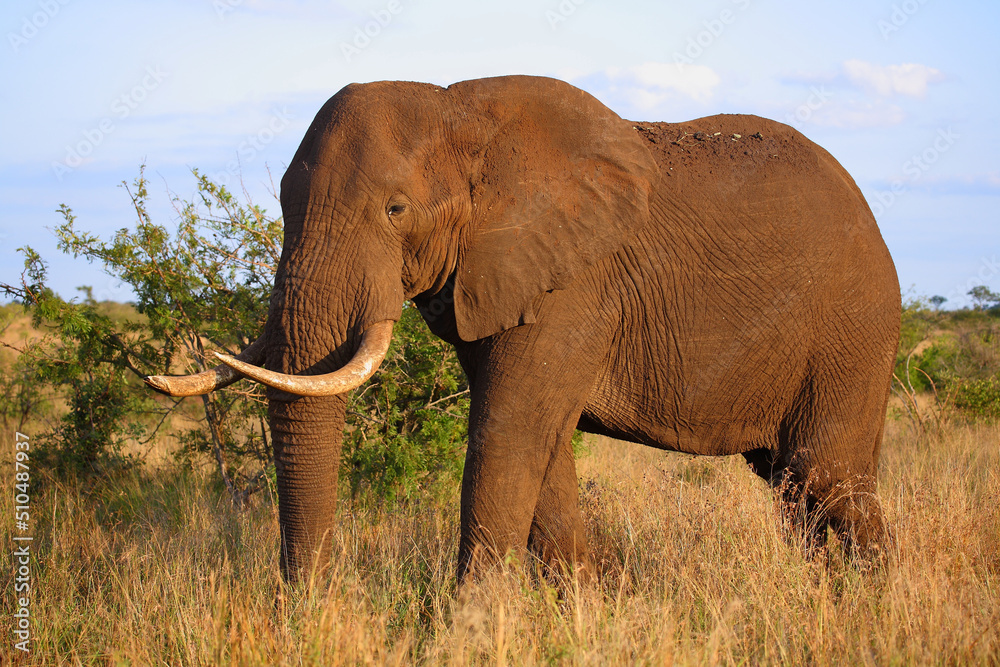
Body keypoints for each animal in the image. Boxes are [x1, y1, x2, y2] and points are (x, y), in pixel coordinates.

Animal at [145, 75, 899, 582]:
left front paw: (464, 630)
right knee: (795, 487)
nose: (315, 607)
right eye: (281, 202)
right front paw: (582, 610)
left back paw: (872, 603)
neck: (459, 109)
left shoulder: (576, 282)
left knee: (823, 475)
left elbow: (508, 432)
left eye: (395, 209)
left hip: (851, 327)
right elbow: (545, 446)